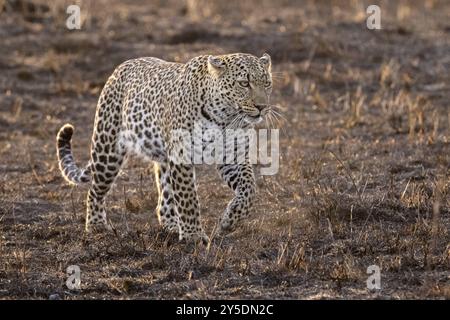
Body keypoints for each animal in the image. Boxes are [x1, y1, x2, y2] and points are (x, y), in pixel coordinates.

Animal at [56, 52, 274, 244]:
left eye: (267, 83)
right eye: (244, 83)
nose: (262, 107)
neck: (226, 118)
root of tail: (121, 67)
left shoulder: (232, 156)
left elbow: (249, 189)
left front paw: (229, 221)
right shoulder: (182, 156)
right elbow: (188, 199)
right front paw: (193, 236)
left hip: (162, 160)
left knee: (164, 200)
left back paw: (171, 226)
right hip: (107, 150)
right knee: (95, 190)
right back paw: (97, 226)